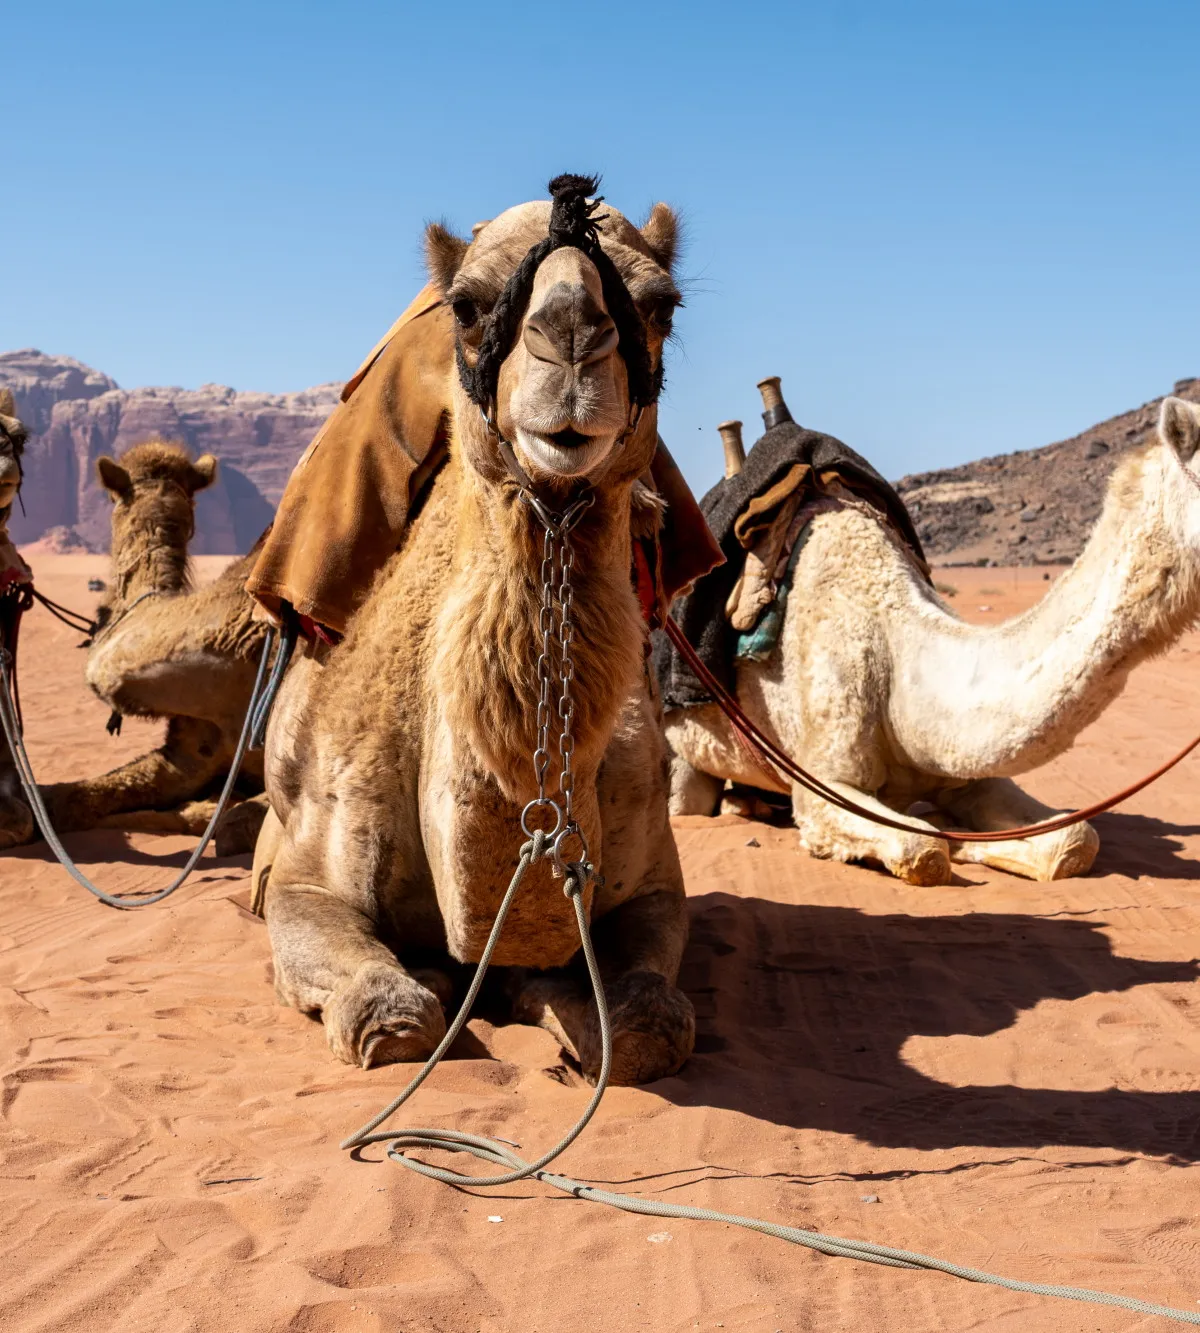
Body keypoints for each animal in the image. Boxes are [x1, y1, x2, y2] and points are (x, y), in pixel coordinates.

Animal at [252, 181, 695, 1084]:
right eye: (465, 305)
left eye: (662, 304)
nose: (571, 338)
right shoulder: (306, 879)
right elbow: (391, 1016)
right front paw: (432, 983)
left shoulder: (656, 880)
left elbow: (644, 1022)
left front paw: (554, 1000)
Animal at [666, 396, 1200, 886]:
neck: (896, 652)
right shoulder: (823, 781)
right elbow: (922, 848)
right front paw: (946, 836)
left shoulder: (963, 769)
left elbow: (1074, 840)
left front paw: (966, 832)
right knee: (684, 798)